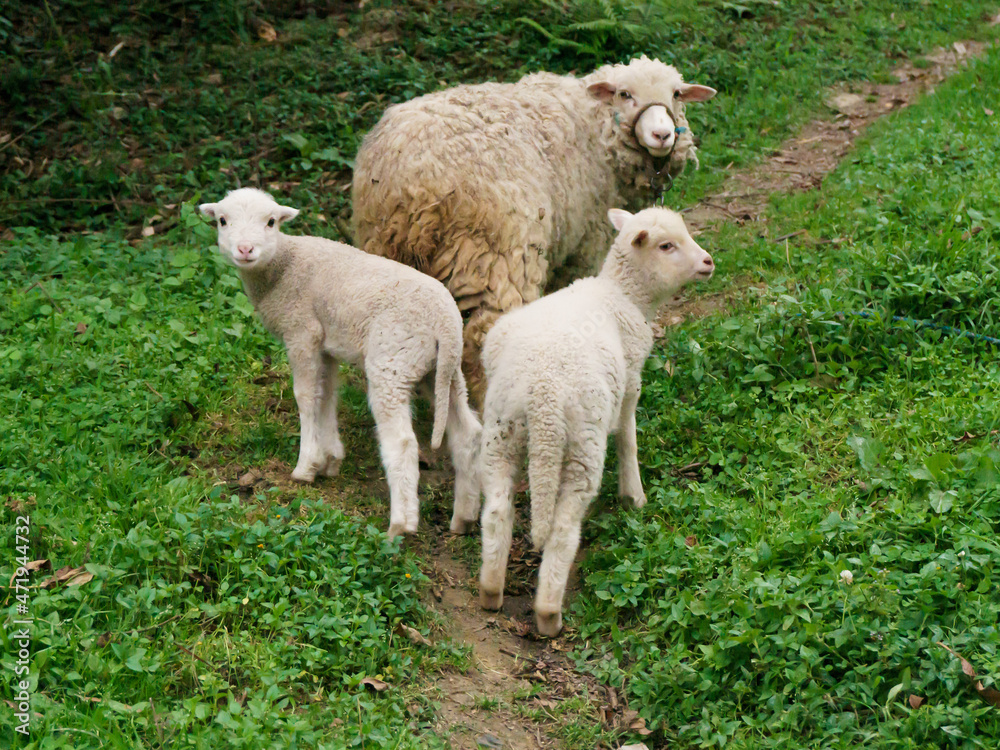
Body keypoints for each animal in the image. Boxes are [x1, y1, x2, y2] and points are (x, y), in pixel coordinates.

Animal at [199, 188, 482, 540]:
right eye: (223, 221)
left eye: (271, 221)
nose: (245, 249)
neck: (283, 267)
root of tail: (446, 321)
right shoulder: (326, 344)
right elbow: (327, 395)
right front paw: (330, 458)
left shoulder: (301, 332)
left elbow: (306, 397)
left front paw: (306, 466)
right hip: (441, 368)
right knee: (467, 432)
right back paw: (464, 518)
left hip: (393, 361)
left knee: (402, 442)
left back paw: (400, 526)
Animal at [352, 55, 716, 403]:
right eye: (624, 94)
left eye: (676, 94)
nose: (662, 135)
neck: (594, 128)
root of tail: (413, 185)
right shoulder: (587, 243)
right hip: (494, 256)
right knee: (482, 339)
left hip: (391, 260)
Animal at [476, 206, 715, 636]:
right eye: (666, 245)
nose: (708, 262)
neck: (624, 293)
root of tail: (543, 395)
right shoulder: (633, 376)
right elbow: (628, 436)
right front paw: (634, 495)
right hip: (582, 444)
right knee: (562, 530)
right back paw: (548, 613)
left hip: (501, 431)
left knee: (498, 511)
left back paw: (490, 590)